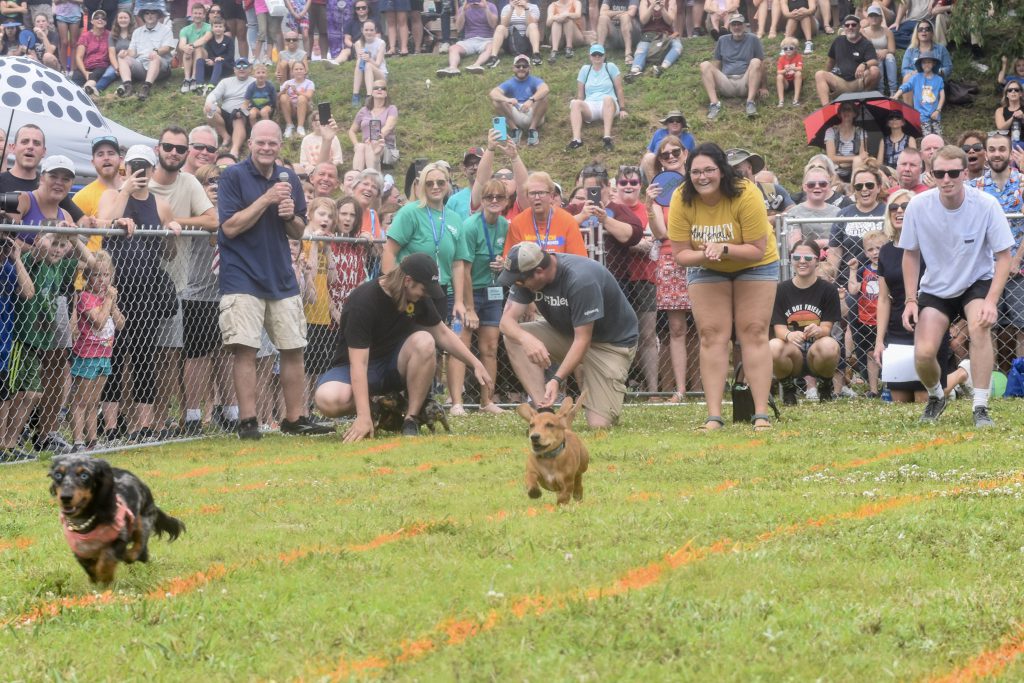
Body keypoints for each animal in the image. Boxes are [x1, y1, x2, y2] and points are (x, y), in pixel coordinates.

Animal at [48, 456, 185, 585]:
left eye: (84, 475)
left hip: (143, 519)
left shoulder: (119, 537)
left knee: (139, 546)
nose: (65, 497)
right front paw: (95, 580)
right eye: (58, 475)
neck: (85, 519)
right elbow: (89, 567)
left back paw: (131, 555)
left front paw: (105, 578)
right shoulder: (80, 550)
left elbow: (107, 558)